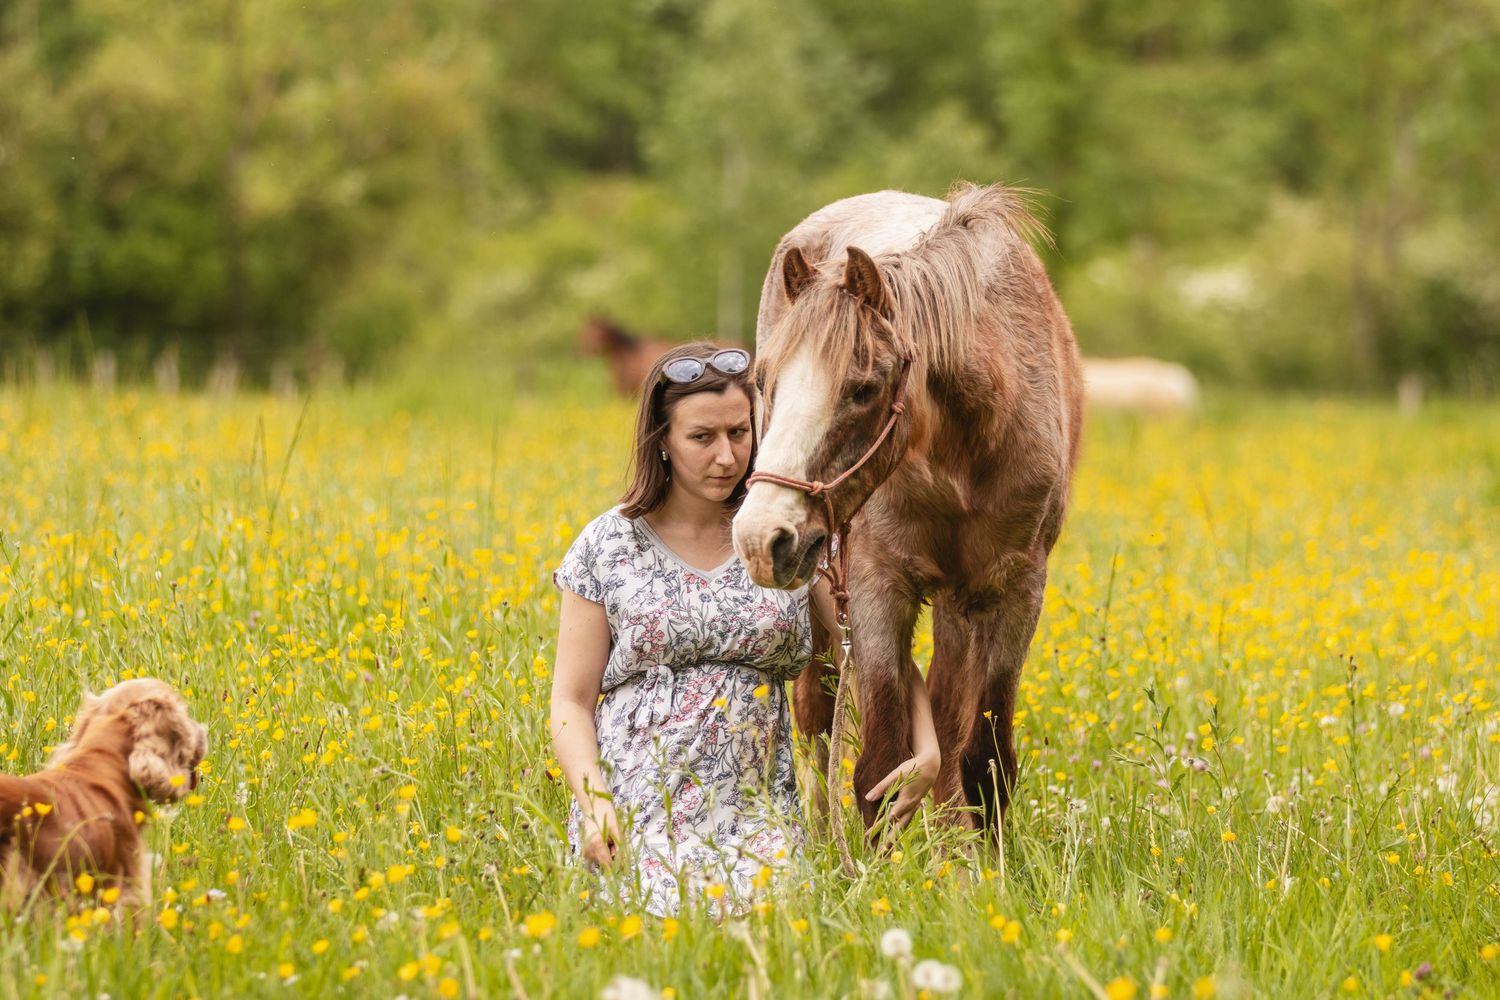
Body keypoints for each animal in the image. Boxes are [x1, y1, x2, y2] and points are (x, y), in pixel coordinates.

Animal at [732, 184, 1084, 839]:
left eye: (864, 389)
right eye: (764, 382)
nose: (761, 538)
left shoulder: (1016, 590)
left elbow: (983, 761)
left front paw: (980, 863)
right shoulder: (875, 587)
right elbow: (881, 765)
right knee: (818, 715)